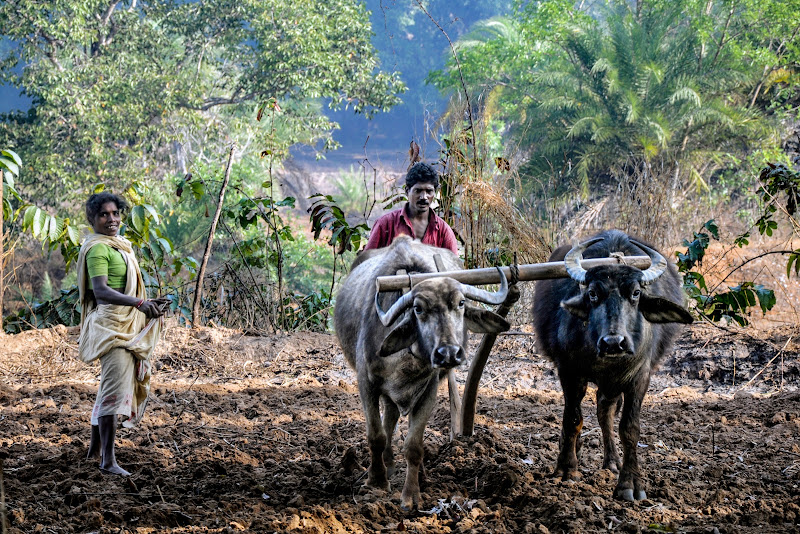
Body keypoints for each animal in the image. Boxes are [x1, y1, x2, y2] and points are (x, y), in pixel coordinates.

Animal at [334, 238, 510, 510]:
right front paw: (376, 481)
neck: (406, 361)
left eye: (461, 303)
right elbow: (376, 435)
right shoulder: (366, 384)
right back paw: (387, 465)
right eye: (417, 308)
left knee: (393, 417)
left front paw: (411, 495)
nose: (449, 353)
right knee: (388, 422)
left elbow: (414, 446)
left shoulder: (429, 390)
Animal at [532, 230, 692, 502]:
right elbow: (572, 418)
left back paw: (612, 462)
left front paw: (630, 483)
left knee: (604, 412)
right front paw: (567, 468)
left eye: (636, 293)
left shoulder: (639, 377)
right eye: (593, 293)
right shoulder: (569, 372)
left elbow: (630, 428)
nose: (613, 343)